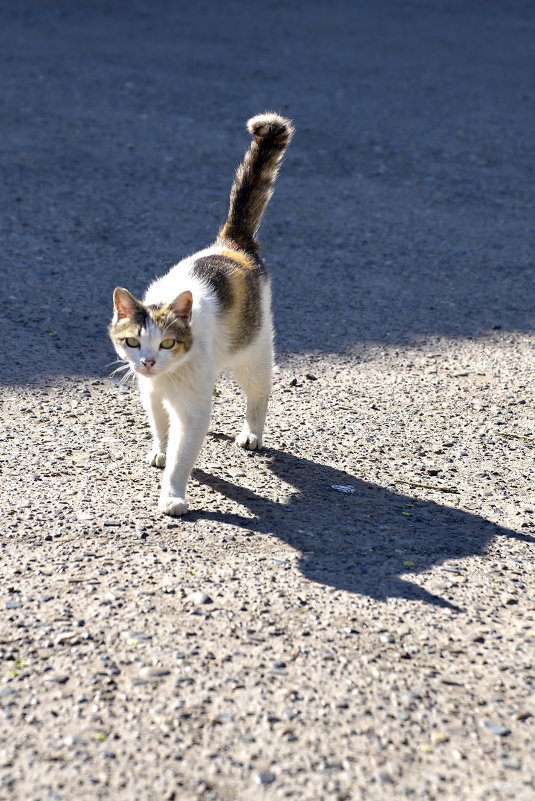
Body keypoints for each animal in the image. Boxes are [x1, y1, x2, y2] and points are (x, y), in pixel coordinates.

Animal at [108, 112, 294, 516]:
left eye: (167, 344)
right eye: (132, 342)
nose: (147, 362)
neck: (168, 377)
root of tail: (231, 245)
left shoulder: (191, 409)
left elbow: (182, 456)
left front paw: (173, 496)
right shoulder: (151, 394)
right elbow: (161, 428)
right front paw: (160, 451)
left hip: (255, 353)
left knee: (260, 392)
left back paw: (252, 433)